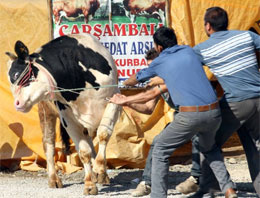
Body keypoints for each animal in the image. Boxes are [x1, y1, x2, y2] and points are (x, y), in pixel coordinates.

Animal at [5, 33, 121, 195]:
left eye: (16, 74)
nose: (17, 103)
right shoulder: (68, 119)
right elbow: (83, 152)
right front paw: (89, 184)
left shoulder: (114, 100)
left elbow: (103, 134)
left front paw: (99, 170)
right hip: (46, 111)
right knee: (49, 143)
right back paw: (54, 179)